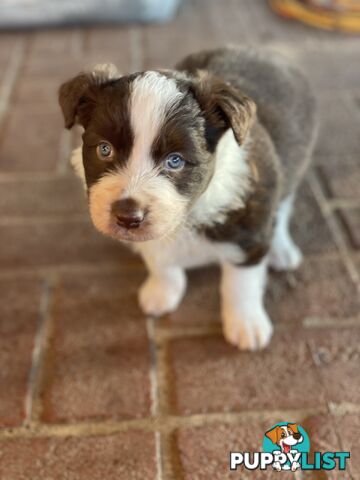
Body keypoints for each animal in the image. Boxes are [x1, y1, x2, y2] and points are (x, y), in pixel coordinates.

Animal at [59, 47, 318, 350]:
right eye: (104, 149)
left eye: (175, 160)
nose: (127, 217)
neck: (189, 215)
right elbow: (160, 262)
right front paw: (161, 293)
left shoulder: (249, 231)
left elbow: (241, 283)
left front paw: (246, 325)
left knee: (284, 207)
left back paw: (281, 249)